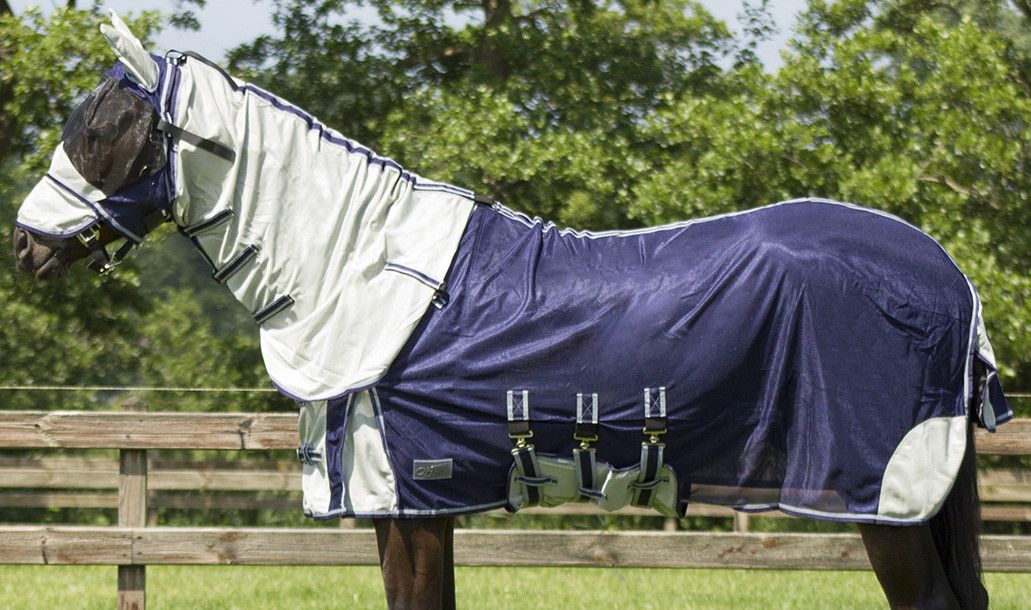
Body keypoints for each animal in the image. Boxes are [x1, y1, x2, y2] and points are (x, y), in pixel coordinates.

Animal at [12, 10, 1014, 610]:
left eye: (101, 131)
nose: (25, 245)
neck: (362, 266)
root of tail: (946, 275)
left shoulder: (412, 501)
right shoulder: (410, 509)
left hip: (885, 497)